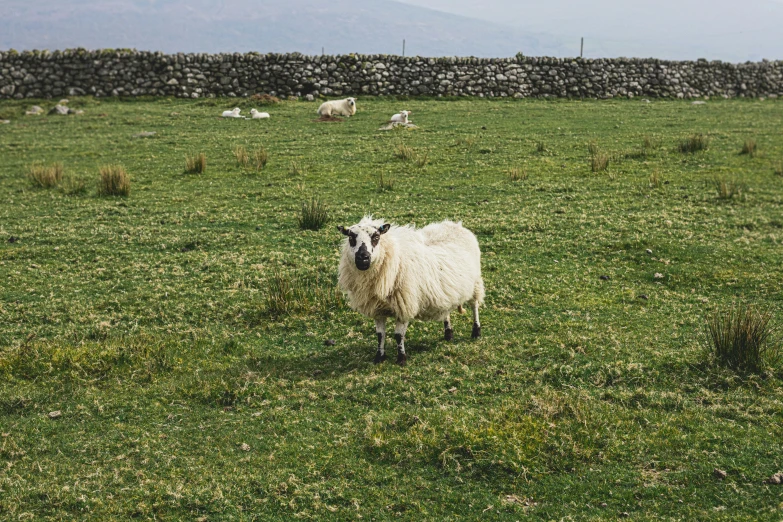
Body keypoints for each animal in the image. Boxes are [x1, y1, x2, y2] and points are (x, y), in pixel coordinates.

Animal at [336, 213, 484, 364]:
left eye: (376, 237)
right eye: (351, 237)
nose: (363, 258)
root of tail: (456, 225)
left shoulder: (404, 304)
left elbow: (398, 335)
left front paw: (401, 359)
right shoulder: (378, 309)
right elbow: (380, 335)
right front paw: (379, 357)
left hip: (475, 283)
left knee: (474, 306)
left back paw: (476, 331)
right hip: (446, 291)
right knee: (446, 310)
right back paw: (448, 334)